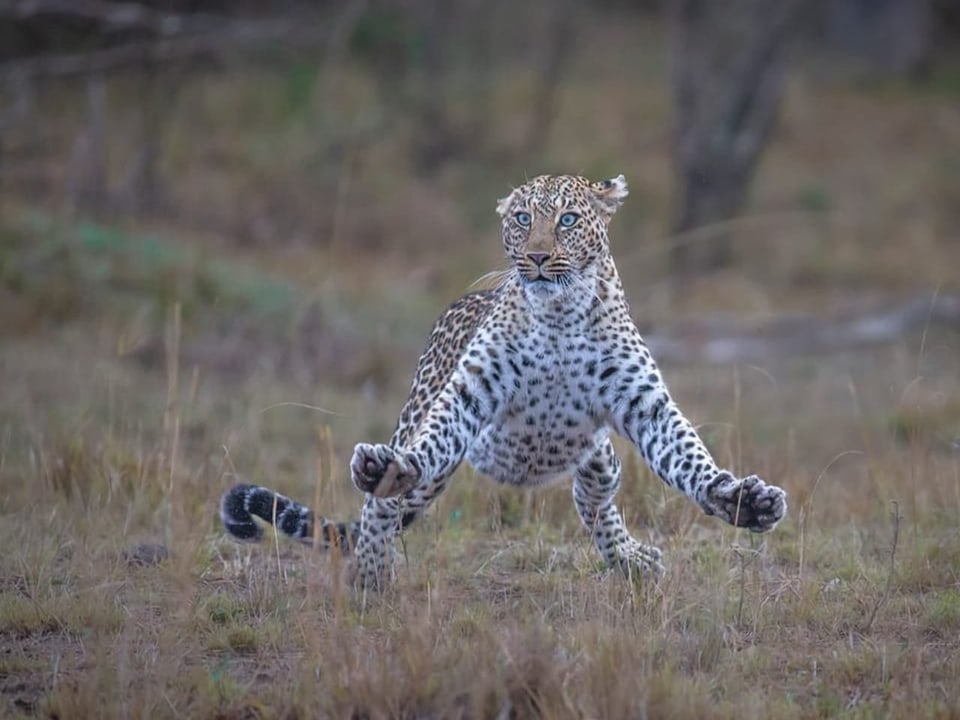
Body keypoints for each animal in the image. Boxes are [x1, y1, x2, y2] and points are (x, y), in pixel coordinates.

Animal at [219, 174, 788, 592]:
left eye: (567, 220)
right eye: (522, 219)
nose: (535, 257)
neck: (559, 316)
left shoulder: (645, 404)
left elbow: (689, 456)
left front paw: (742, 500)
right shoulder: (469, 392)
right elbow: (428, 444)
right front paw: (388, 474)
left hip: (599, 458)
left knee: (593, 502)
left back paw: (631, 560)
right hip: (425, 440)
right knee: (383, 505)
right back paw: (371, 571)